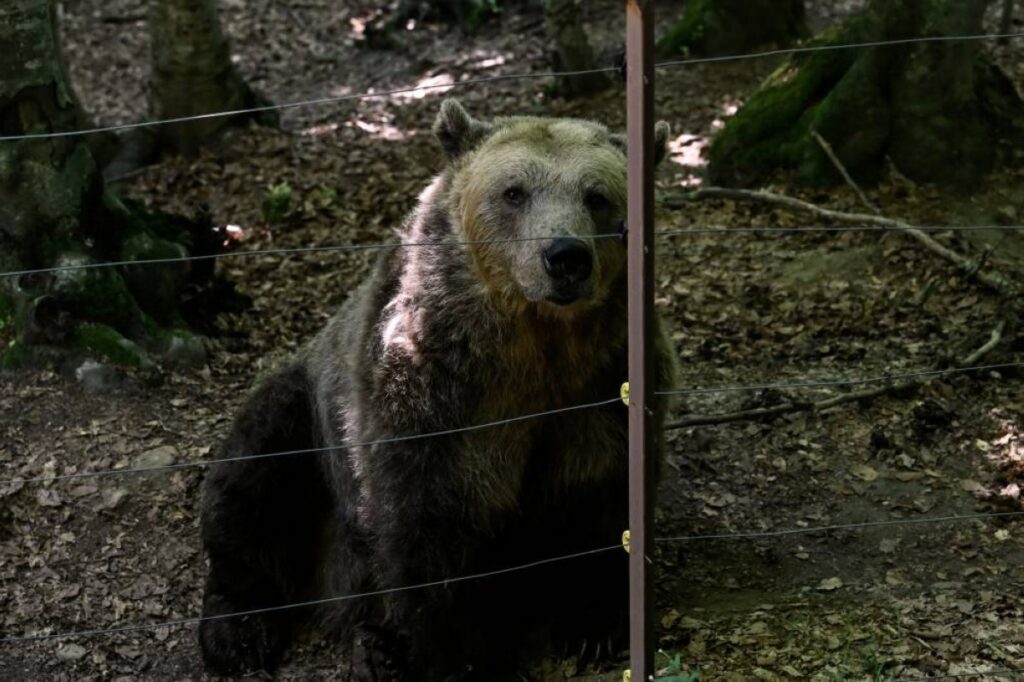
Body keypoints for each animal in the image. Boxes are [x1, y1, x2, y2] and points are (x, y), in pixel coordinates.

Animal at [198, 99, 677, 681]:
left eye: (597, 195)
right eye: (513, 192)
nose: (565, 256)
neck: (534, 349)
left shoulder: (603, 386)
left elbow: (605, 494)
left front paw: (594, 625)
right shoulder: (433, 393)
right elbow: (427, 523)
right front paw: (465, 659)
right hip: (308, 420)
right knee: (253, 480)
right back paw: (249, 633)